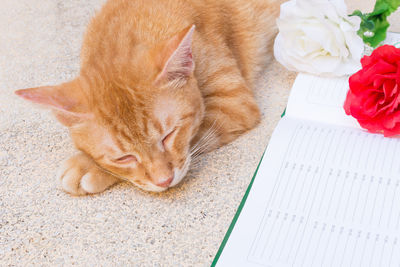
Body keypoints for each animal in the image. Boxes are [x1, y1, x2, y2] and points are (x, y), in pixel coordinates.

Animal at [16, 0, 282, 195]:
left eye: (169, 136)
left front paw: (87, 166)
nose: (164, 181)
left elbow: (197, 137)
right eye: (123, 157)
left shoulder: (233, 103)